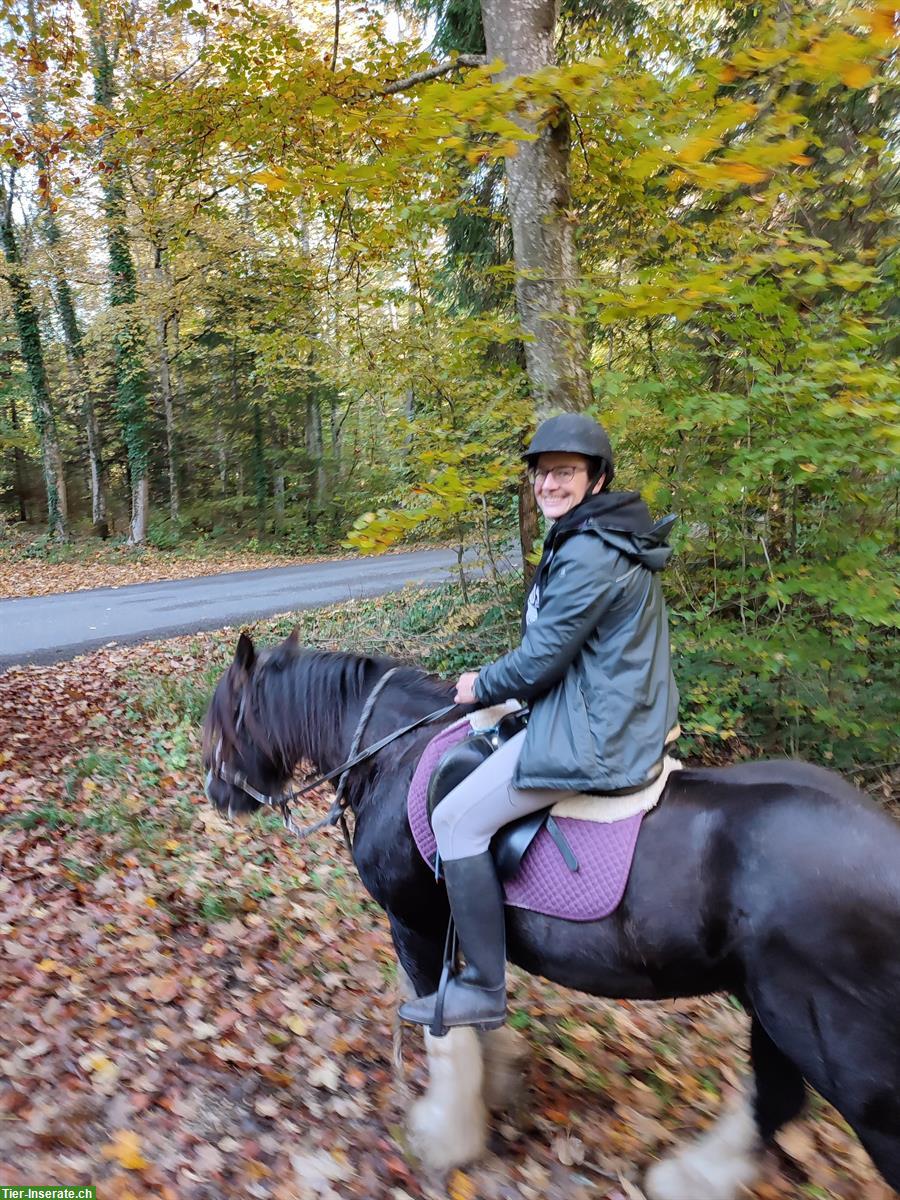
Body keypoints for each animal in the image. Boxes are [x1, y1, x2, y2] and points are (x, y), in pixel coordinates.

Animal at [202, 633, 900, 1195]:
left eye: (226, 719)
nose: (218, 795)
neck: (395, 755)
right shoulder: (455, 935)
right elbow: (474, 1011)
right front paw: (499, 1083)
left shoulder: (415, 926)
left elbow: (442, 1031)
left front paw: (445, 1134)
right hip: (772, 1012)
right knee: (774, 1101)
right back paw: (689, 1179)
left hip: (833, 1044)